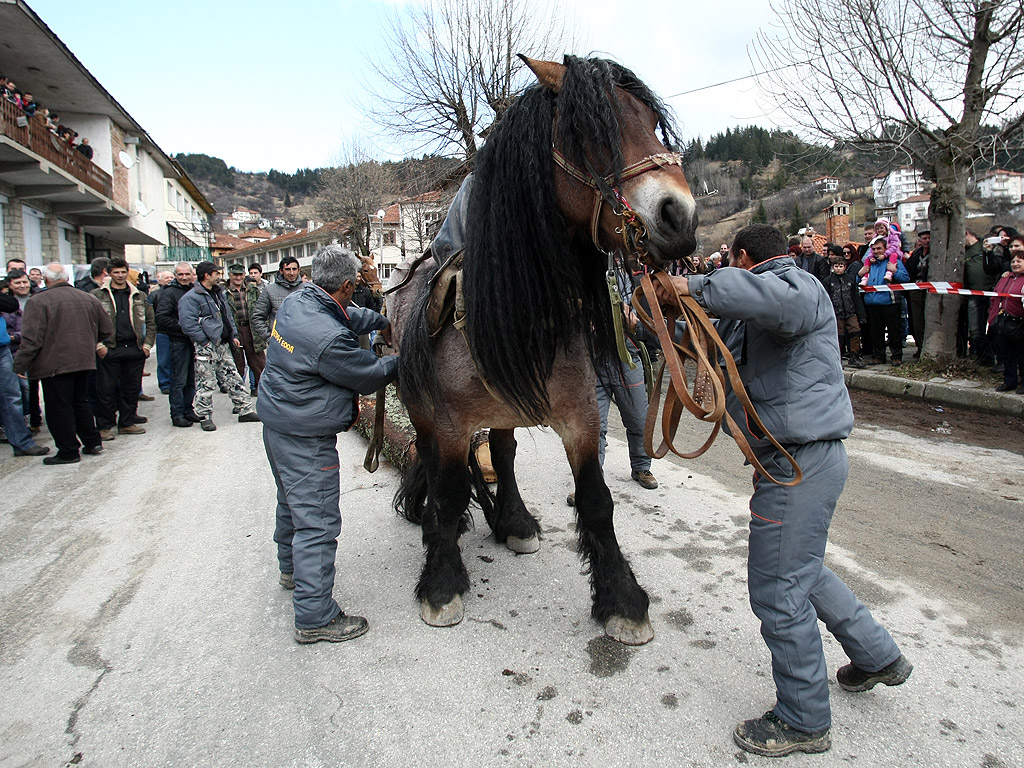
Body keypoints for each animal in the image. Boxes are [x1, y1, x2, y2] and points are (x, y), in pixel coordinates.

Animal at [387, 54, 700, 647]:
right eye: (588, 133)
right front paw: (442, 583)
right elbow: (446, 494)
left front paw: (621, 599)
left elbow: (597, 501)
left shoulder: (579, 415)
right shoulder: (448, 423)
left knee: (504, 452)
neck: (513, 310)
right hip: (425, 415)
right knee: (441, 469)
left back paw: (513, 521)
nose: (680, 218)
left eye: (652, 121)